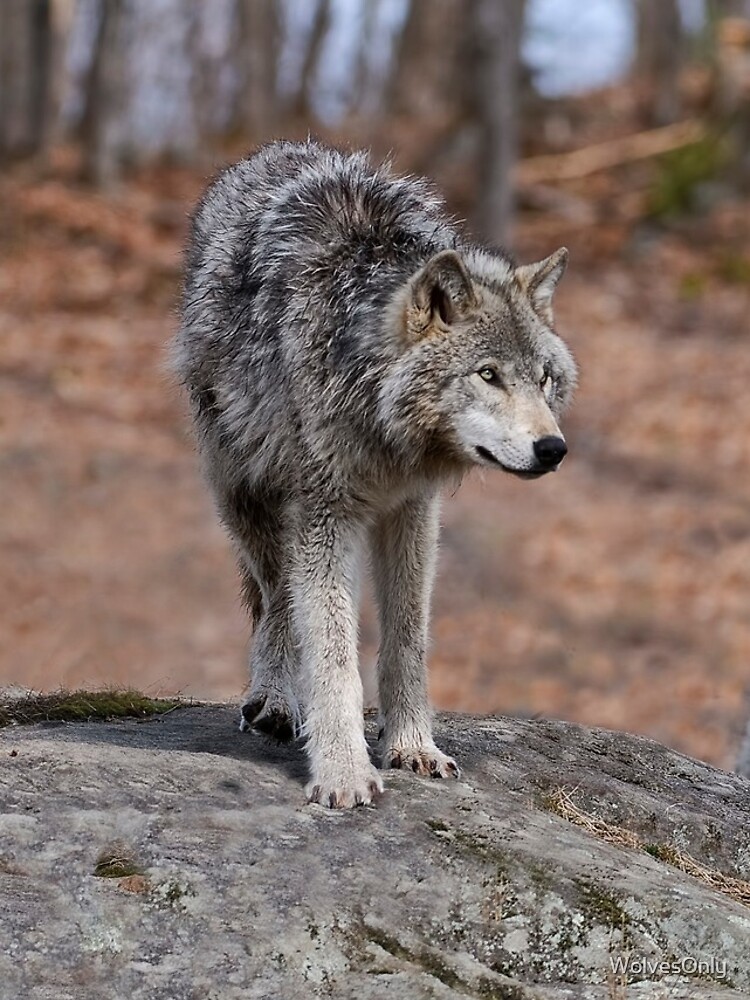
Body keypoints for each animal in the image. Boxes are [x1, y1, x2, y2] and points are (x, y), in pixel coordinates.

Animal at [174, 140, 577, 808]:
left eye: (543, 379)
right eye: (488, 375)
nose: (553, 449)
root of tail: (273, 150)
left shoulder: (413, 510)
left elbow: (407, 641)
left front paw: (412, 746)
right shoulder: (324, 515)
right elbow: (333, 652)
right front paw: (342, 772)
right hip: (248, 497)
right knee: (274, 603)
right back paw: (276, 701)